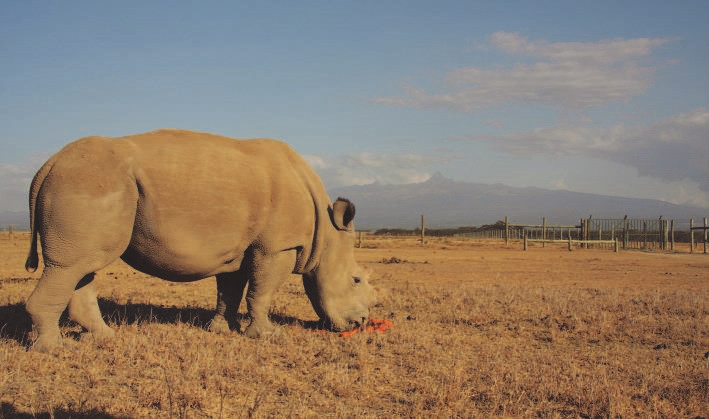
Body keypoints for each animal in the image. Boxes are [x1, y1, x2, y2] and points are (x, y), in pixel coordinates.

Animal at [24, 130, 374, 352]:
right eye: (356, 280)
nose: (362, 322)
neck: (327, 233)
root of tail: (48, 164)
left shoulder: (239, 248)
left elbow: (230, 291)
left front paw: (220, 330)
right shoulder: (277, 247)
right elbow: (262, 291)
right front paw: (267, 335)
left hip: (88, 181)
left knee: (82, 267)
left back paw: (102, 338)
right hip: (88, 181)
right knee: (69, 266)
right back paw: (56, 349)